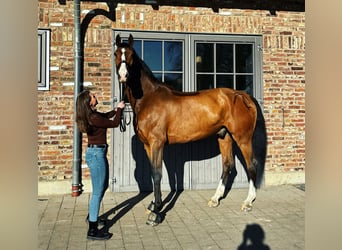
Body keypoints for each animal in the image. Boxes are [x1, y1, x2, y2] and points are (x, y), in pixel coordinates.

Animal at [115, 34, 268, 226]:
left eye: (131, 56)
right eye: (116, 54)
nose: (123, 75)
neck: (149, 98)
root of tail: (241, 95)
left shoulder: (157, 143)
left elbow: (157, 174)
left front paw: (156, 212)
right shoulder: (147, 145)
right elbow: (152, 173)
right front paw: (153, 204)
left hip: (242, 138)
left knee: (251, 164)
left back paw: (248, 202)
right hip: (224, 136)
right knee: (227, 165)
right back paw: (215, 199)